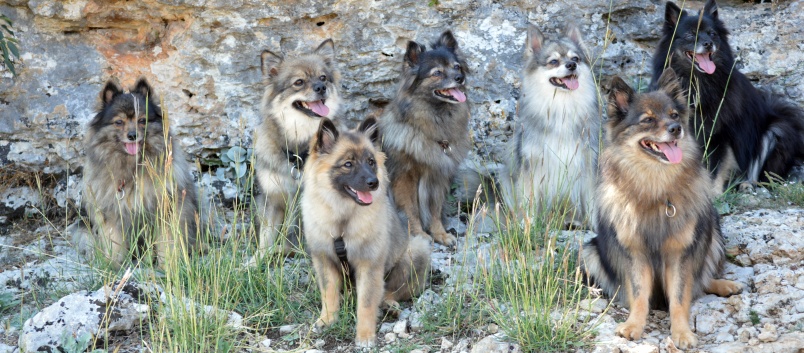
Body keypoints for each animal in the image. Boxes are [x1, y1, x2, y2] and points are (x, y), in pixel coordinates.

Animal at [82, 77, 199, 264]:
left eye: (142, 120)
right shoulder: (112, 213)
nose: (132, 135)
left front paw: (167, 264)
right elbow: (114, 243)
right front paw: (115, 264)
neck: (132, 169)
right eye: (119, 122)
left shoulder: (164, 210)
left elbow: (167, 242)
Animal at [251, 39, 340, 258]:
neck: (299, 152)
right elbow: (265, 238)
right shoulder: (272, 199)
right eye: (299, 82)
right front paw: (255, 260)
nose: (321, 87)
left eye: (323, 77)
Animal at [302, 117, 430, 346]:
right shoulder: (325, 260)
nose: (374, 183)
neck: (343, 219)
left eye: (371, 162)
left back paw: (389, 306)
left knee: (390, 292)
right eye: (348, 164)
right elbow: (329, 294)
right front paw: (327, 320)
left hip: (415, 252)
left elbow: (367, 304)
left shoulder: (369, 265)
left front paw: (365, 336)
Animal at [378, 30, 472, 245]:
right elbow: (412, 209)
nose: (460, 77)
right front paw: (419, 234)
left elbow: (435, 210)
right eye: (437, 73)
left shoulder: (438, 177)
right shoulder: (406, 178)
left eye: (456, 67)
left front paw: (440, 234)